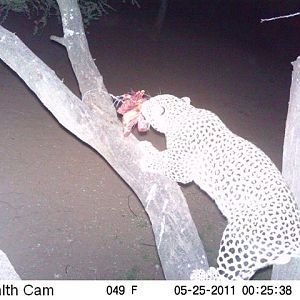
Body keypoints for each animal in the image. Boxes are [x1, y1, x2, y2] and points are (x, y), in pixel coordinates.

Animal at [139, 94, 300, 282]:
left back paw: (203, 277)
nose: (142, 104)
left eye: (150, 104)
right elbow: (164, 155)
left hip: (238, 236)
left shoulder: (182, 168)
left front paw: (148, 155)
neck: (183, 115)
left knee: (227, 275)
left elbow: (162, 160)